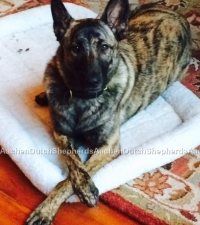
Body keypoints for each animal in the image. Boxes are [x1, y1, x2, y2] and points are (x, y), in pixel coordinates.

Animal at [26, 0, 191, 224]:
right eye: (75, 48)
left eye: (104, 47)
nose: (92, 82)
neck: (82, 100)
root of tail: (176, 15)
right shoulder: (61, 133)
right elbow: (74, 163)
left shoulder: (108, 146)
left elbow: (73, 176)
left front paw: (55, 204)